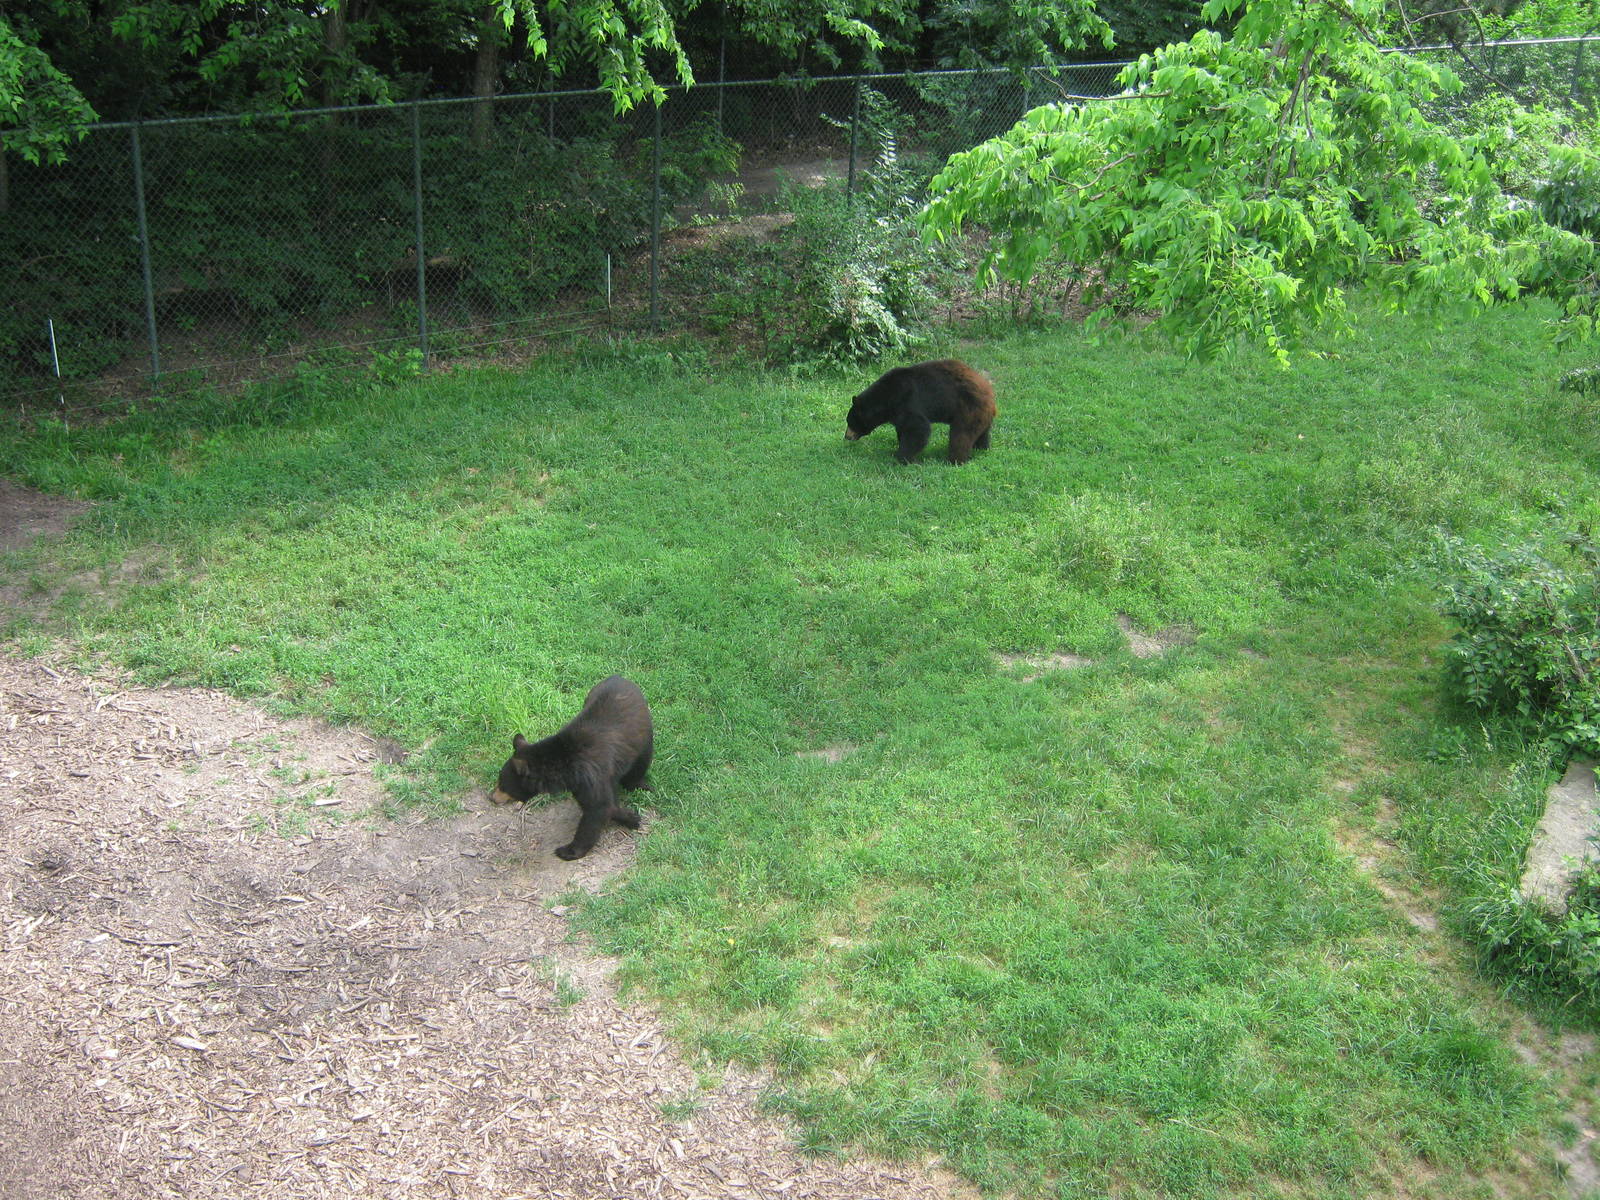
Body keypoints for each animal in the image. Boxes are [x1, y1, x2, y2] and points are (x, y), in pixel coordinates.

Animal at [491, 675, 654, 860]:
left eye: (502, 784)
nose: (492, 797)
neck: (565, 770)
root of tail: (619, 677)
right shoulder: (587, 782)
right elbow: (608, 803)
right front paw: (630, 817)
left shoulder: (590, 777)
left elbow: (598, 808)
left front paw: (567, 850)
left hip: (644, 736)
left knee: (640, 765)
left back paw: (640, 784)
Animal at [844, 358, 996, 465]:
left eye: (850, 422)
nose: (846, 436)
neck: (887, 398)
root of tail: (990, 393)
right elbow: (903, 429)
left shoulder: (907, 402)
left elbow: (917, 428)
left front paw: (902, 457)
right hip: (980, 414)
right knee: (981, 432)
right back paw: (981, 448)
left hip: (968, 409)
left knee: (961, 435)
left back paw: (955, 460)